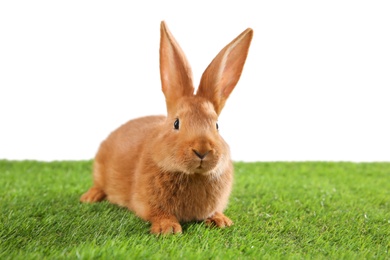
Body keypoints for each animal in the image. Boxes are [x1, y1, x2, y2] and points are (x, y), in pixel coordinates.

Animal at [80, 20, 254, 235]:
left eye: (217, 125)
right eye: (176, 123)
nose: (202, 150)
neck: (192, 175)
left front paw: (220, 220)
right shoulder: (147, 203)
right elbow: (158, 213)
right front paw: (167, 229)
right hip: (99, 168)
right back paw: (90, 197)